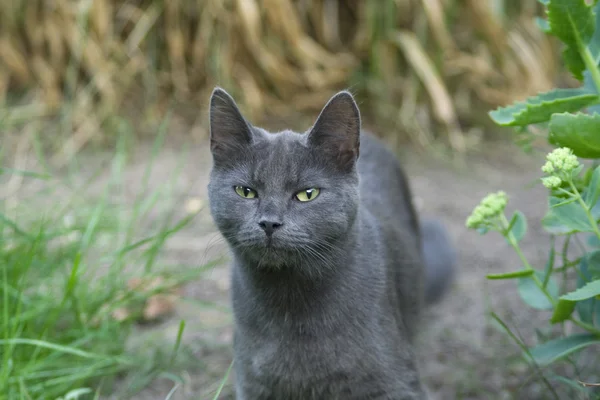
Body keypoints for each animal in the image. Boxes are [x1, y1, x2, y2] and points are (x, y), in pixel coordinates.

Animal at [206, 88, 454, 400]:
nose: (269, 223)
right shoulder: (253, 383)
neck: (292, 303)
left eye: (307, 194)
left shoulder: (396, 383)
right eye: (245, 191)